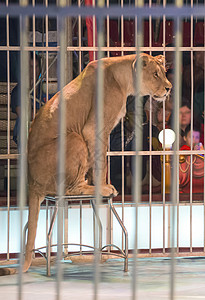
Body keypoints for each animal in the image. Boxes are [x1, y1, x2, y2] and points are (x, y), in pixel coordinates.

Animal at [0, 52, 171, 276]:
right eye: (155, 74)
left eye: (164, 73)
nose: (169, 88)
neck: (123, 79)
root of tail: (32, 184)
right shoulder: (93, 129)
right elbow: (101, 162)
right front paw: (102, 186)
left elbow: (97, 161)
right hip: (74, 138)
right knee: (69, 188)